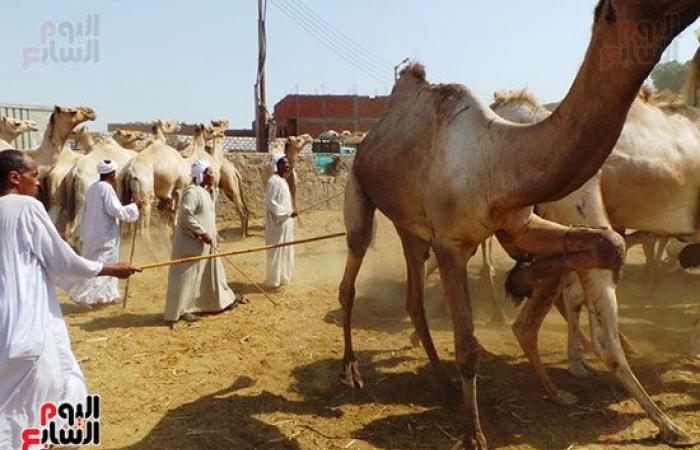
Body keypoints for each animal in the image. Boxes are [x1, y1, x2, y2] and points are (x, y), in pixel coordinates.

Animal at [336, 1, 696, 448]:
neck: (499, 158)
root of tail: (369, 138)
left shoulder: (516, 222)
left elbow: (610, 243)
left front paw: (527, 280)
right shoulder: (451, 244)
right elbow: (467, 347)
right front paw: (474, 433)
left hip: (411, 228)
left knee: (414, 299)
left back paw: (443, 384)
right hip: (358, 185)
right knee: (353, 268)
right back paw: (351, 369)